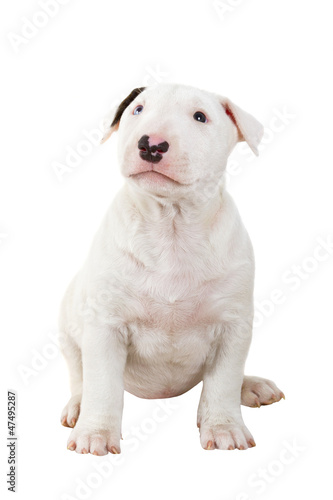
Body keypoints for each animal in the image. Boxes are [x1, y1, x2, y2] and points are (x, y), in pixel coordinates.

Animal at [59, 84, 282, 456]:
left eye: (200, 117)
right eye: (138, 109)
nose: (151, 144)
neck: (171, 225)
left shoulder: (233, 326)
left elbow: (223, 381)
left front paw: (224, 427)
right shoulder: (105, 326)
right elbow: (103, 385)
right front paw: (96, 434)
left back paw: (251, 387)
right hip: (69, 322)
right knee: (80, 375)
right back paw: (78, 406)